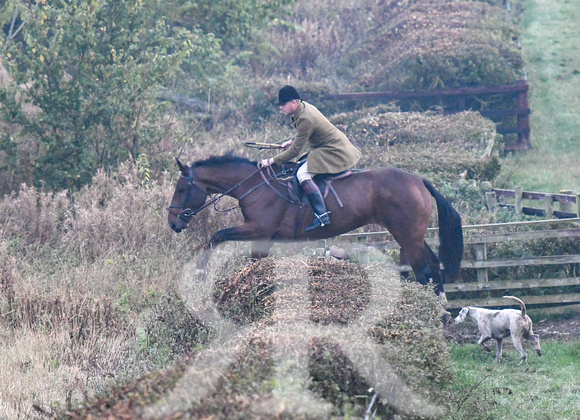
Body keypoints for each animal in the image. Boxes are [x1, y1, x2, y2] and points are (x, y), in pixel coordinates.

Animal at [167, 154, 462, 306]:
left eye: (181, 189)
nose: (173, 223)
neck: (253, 187)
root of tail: (419, 180)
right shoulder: (262, 238)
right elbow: (254, 264)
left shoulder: (257, 229)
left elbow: (217, 237)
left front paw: (201, 272)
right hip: (413, 235)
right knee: (433, 265)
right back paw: (442, 309)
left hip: (407, 236)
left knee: (423, 271)